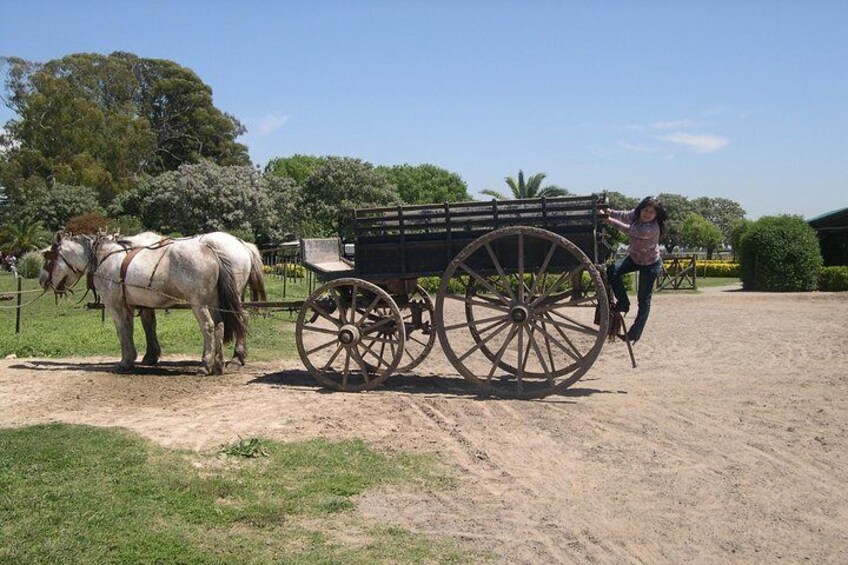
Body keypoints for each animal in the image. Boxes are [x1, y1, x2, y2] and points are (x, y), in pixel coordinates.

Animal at [39, 231, 247, 376]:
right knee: (220, 325)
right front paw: (142, 357)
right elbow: (140, 327)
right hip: (213, 302)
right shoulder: (136, 304)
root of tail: (210, 250)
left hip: (199, 303)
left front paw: (126, 361)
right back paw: (218, 364)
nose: (42, 281)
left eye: (49, 257)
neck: (106, 257)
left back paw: (206, 365)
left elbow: (123, 331)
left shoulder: (116, 306)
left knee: (209, 327)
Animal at [119, 231, 264, 368]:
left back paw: (234, 358)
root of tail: (242, 244)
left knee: (241, 318)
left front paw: (149, 356)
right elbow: (150, 324)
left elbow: (147, 324)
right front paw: (151, 355)